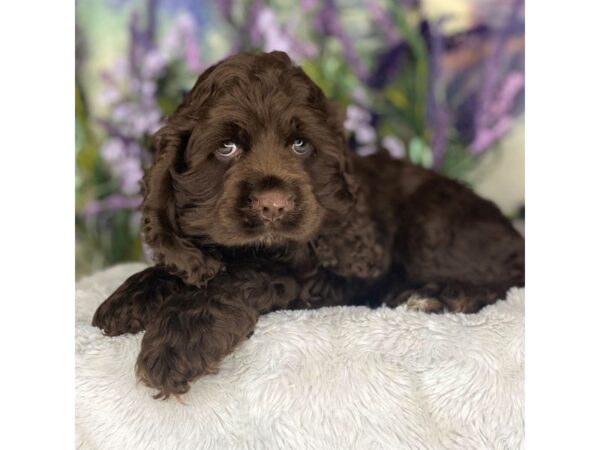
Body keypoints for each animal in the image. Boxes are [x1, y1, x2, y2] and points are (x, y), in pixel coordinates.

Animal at [91, 51, 524, 400]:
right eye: (227, 148)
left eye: (301, 145)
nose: (273, 205)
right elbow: (193, 267)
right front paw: (129, 297)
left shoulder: (323, 274)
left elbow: (243, 276)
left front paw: (179, 339)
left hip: (431, 226)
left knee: (499, 278)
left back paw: (438, 296)